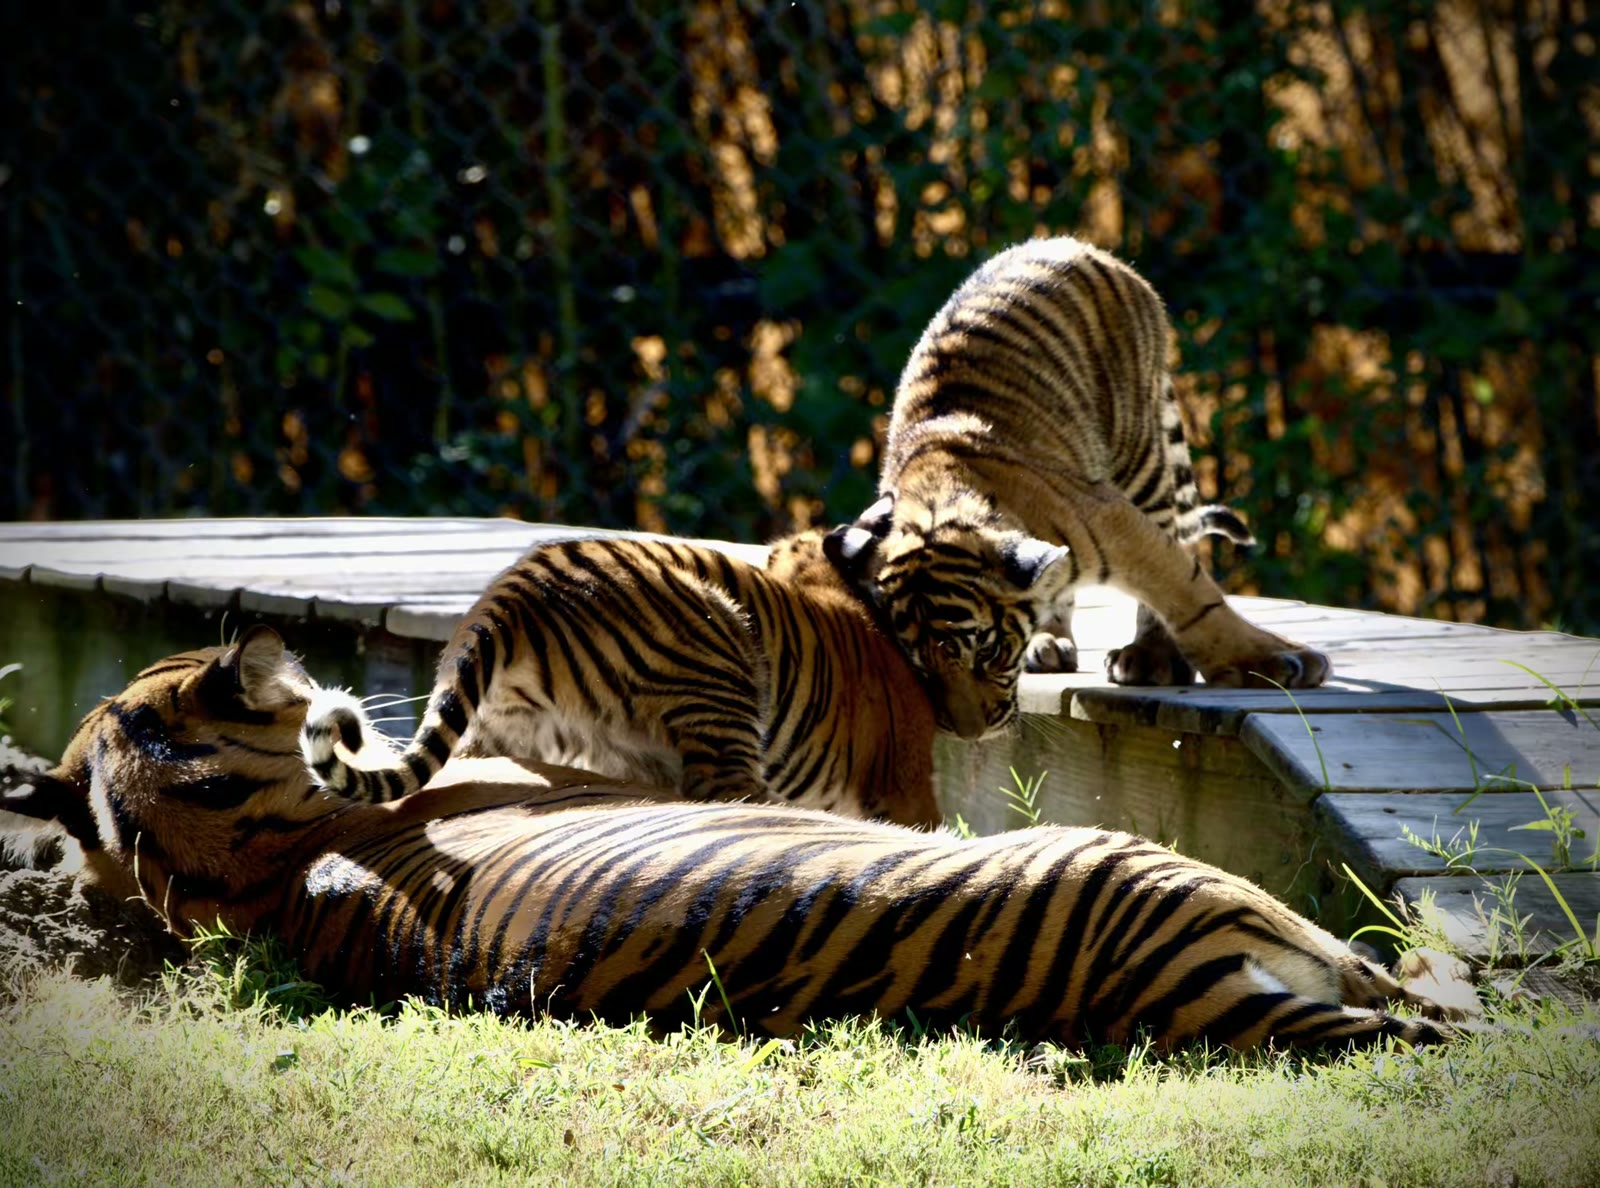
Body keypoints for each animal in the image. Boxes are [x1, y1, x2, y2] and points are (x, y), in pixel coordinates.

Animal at [827, 236, 1331, 740]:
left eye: (986, 652)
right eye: (920, 667)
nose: (971, 733)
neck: (932, 504)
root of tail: (1078, 244)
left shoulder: (1116, 523)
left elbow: (1192, 599)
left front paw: (1279, 662)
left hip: (1141, 459)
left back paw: (1149, 657)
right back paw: (1050, 643)